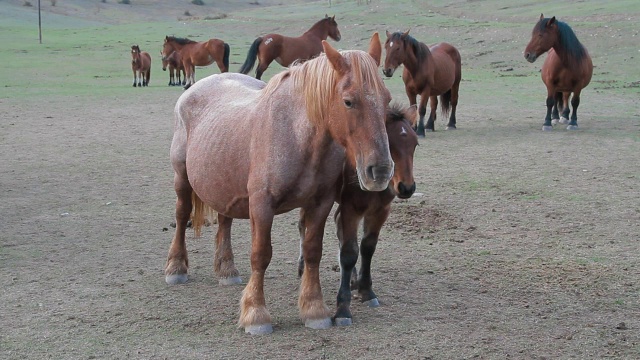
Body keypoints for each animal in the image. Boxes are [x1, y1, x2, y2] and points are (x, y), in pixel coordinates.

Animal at [164, 33, 396, 334]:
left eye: (386, 99)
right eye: (348, 101)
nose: (380, 171)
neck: (296, 137)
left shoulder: (320, 204)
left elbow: (312, 251)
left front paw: (314, 309)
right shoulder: (262, 205)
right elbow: (261, 255)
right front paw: (256, 313)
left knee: (225, 222)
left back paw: (227, 269)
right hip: (182, 178)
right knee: (182, 215)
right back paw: (176, 268)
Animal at [296, 102, 418, 326]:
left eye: (415, 144)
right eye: (390, 144)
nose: (406, 188)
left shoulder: (380, 211)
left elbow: (367, 247)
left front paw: (366, 290)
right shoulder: (350, 208)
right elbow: (349, 252)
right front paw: (343, 309)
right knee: (303, 224)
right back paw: (302, 265)